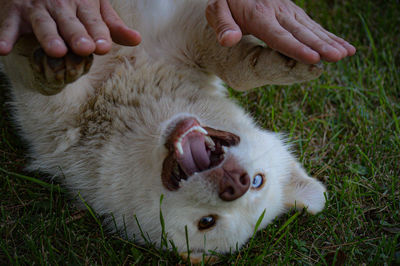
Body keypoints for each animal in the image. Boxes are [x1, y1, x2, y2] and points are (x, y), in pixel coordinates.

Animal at [0, 0, 326, 262]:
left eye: (206, 222)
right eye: (259, 180)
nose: (236, 184)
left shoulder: (50, 117)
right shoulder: (181, 33)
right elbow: (233, 65)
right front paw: (282, 64)